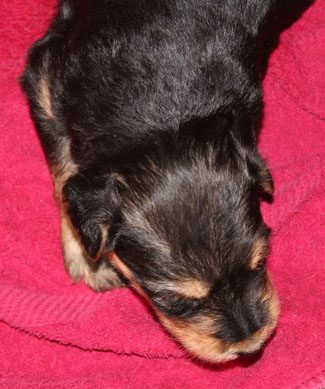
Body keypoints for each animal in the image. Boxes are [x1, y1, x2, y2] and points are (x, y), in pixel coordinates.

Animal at [21, 0, 310, 362]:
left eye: (260, 262)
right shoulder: (44, 74)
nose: (251, 347)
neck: (159, 116)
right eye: (177, 301)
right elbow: (63, 168)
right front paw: (87, 259)